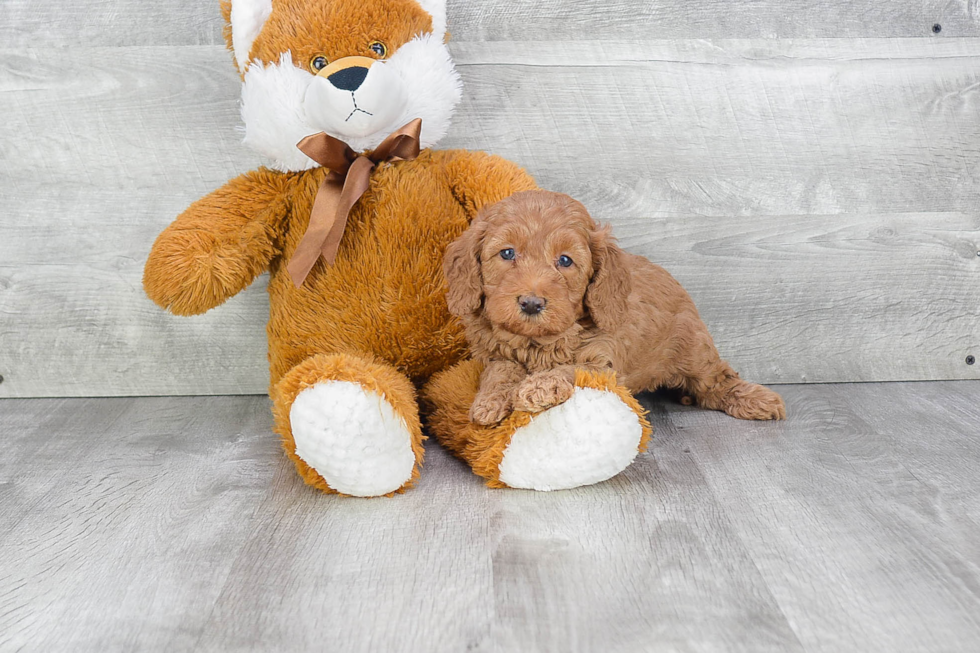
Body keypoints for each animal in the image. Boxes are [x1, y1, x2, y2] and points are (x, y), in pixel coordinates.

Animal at [446, 187, 788, 428]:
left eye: (565, 260)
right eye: (507, 253)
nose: (531, 303)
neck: (537, 342)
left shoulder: (604, 362)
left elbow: (572, 368)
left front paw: (540, 385)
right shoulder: (494, 353)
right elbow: (500, 370)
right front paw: (489, 401)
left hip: (694, 350)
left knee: (718, 380)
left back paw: (757, 400)